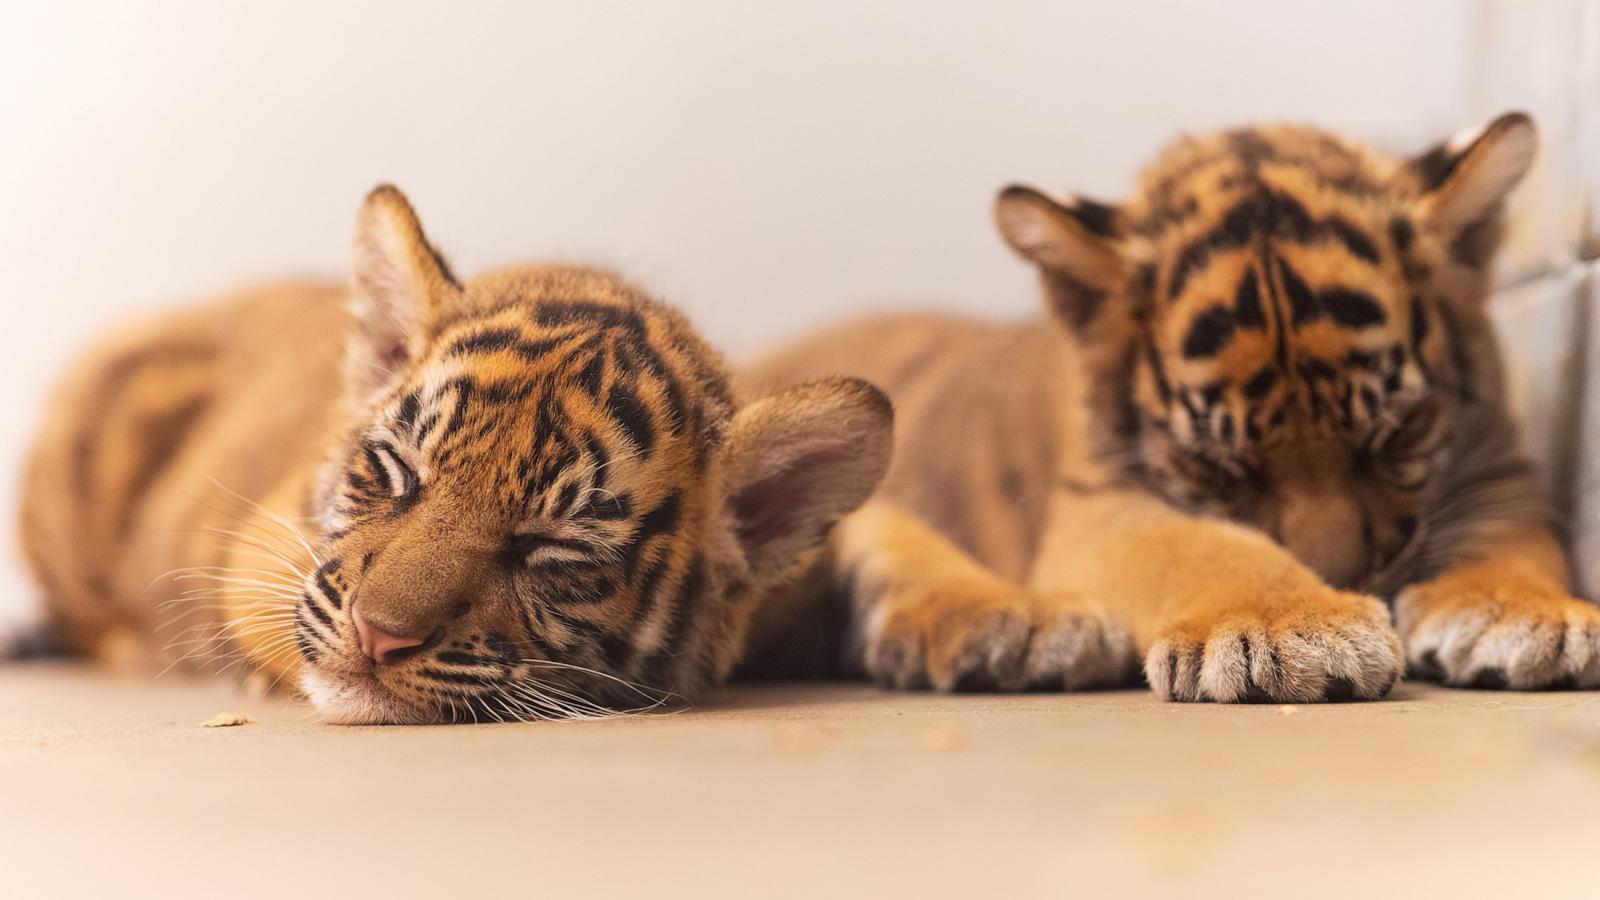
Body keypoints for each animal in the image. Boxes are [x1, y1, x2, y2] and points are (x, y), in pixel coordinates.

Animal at [740, 111, 1600, 702]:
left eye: (1397, 435)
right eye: (1212, 467)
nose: (1349, 579)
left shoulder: (1495, 464)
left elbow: (1511, 540)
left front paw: (1529, 618)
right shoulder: (1100, 505)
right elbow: (1198, 545)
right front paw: (1296, 630)